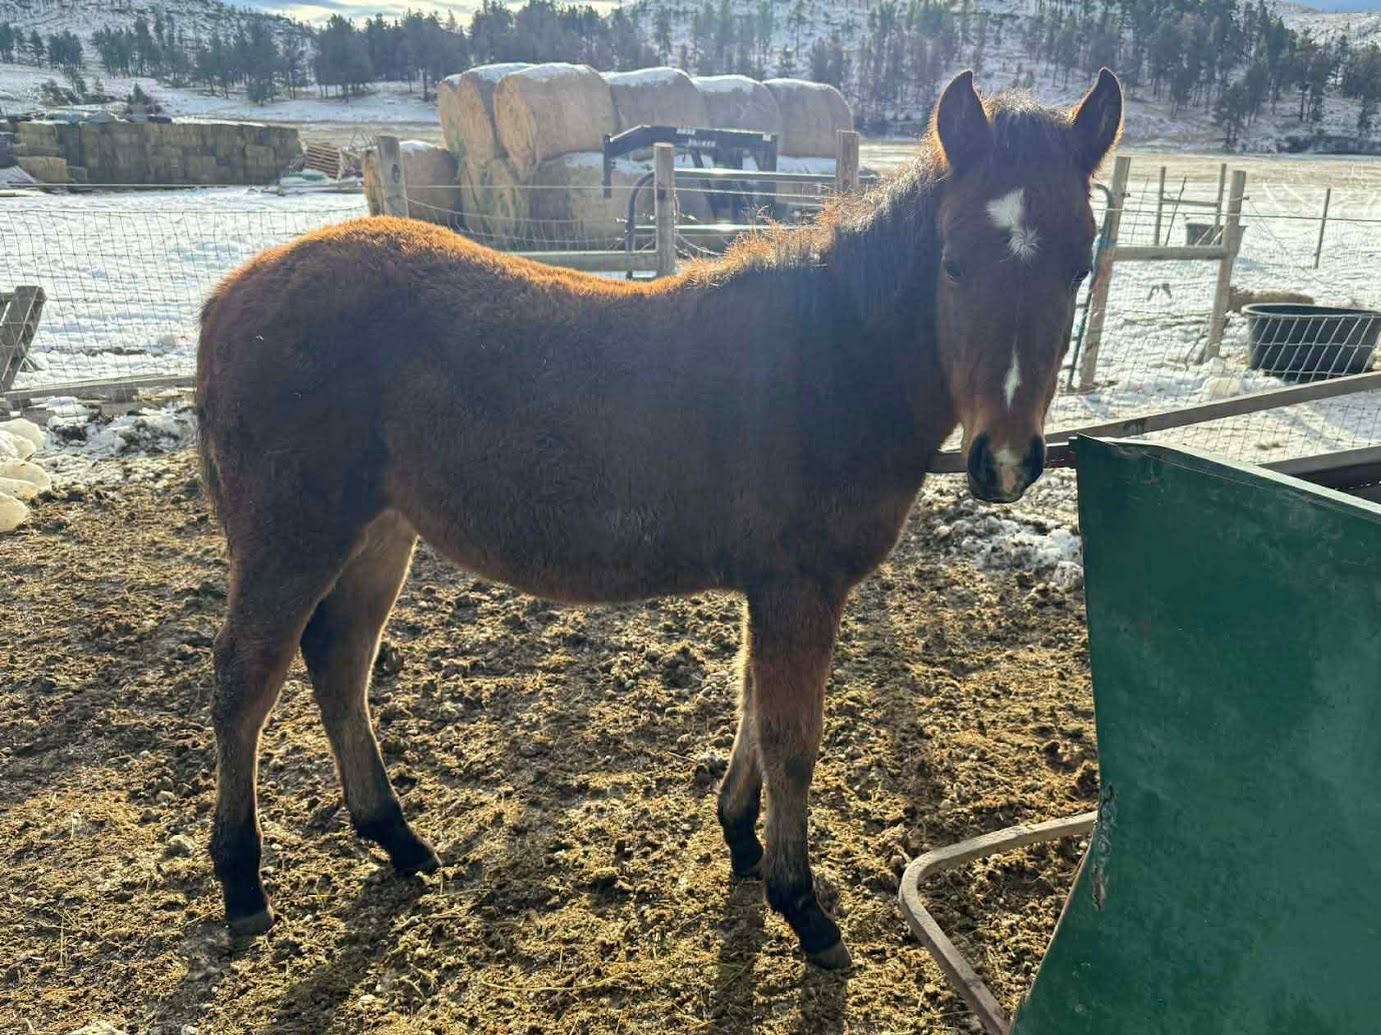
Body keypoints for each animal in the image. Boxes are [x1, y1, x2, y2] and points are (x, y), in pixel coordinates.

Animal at [195, 68, 1122, 970]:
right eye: (953, 263)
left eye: (1078, 266)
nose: (1006, 461)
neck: (825, 357)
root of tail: (230, 293)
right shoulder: (800, 587)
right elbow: (792, 738)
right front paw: (802, 906)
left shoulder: (775, 588)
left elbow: (752, 706)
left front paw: (741, 839)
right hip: (292, 535)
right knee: (246, 681)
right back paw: (243, 885)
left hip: (378, 534)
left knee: (339, 662)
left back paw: (398, 839)